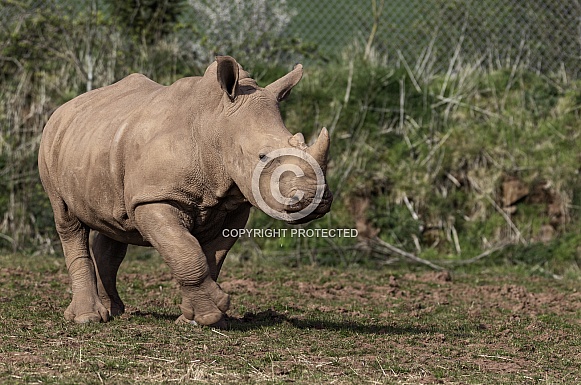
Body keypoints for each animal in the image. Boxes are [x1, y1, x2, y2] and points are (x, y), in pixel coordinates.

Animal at [38, 56, 330, 328]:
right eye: (262, 156)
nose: (316, 200)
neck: (215, 125)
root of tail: (63, 109)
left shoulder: (233, 206)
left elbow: (212, 258)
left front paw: (199, 319)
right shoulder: (155, 197)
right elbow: (186, 252)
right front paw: (213, 311)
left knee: (115, 225)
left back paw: (115, 311)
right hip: (50, 143)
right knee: (67, 220)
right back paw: (87, 318)